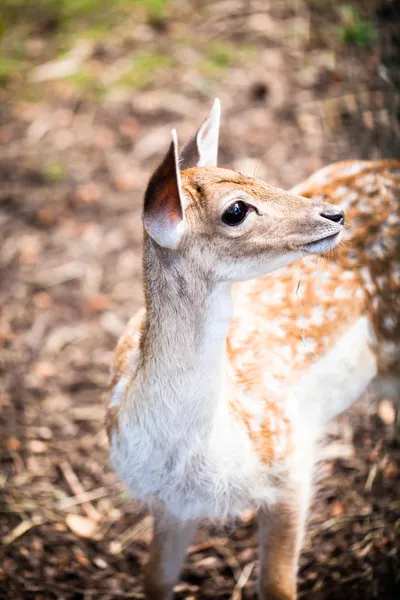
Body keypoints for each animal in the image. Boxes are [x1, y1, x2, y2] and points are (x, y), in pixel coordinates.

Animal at [107, 101, 400, 596]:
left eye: (251, 175)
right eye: (236, 210)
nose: (335, 214)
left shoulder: (289, 460)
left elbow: (277, 586)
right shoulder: (170, 504)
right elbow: (155, 580)